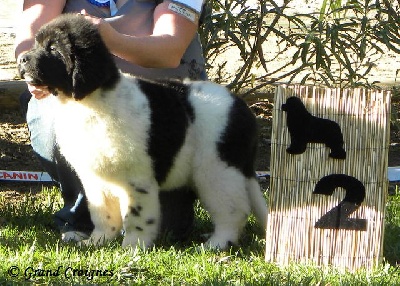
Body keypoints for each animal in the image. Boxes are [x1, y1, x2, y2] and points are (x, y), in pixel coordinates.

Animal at [19, 14, 268, 249]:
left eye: (53, 49)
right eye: (37, 43)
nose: (21, 59)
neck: (89, 101)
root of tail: (243, 108)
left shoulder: (136, 178)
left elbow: (136, 216)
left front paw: (133, 247)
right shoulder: (96, 177)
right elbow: (102, 214)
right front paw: (98, 241)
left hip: (217, 170)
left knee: (232, 211)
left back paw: (216, 244)